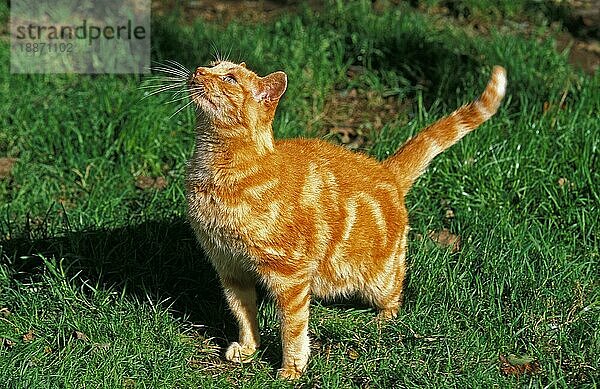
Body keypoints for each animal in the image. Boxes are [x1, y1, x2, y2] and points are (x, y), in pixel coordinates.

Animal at [184, 60, 506, 378]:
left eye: (230, 78)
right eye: (212, 66)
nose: (198, 71)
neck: (219, 171)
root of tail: (387, 170)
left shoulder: (291, 276)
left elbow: (293, 328)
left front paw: (292, 368)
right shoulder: (229, 267)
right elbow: (243, 313)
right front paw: (249, 348)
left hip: (379, 279)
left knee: (395, 295)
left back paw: (383, 320)